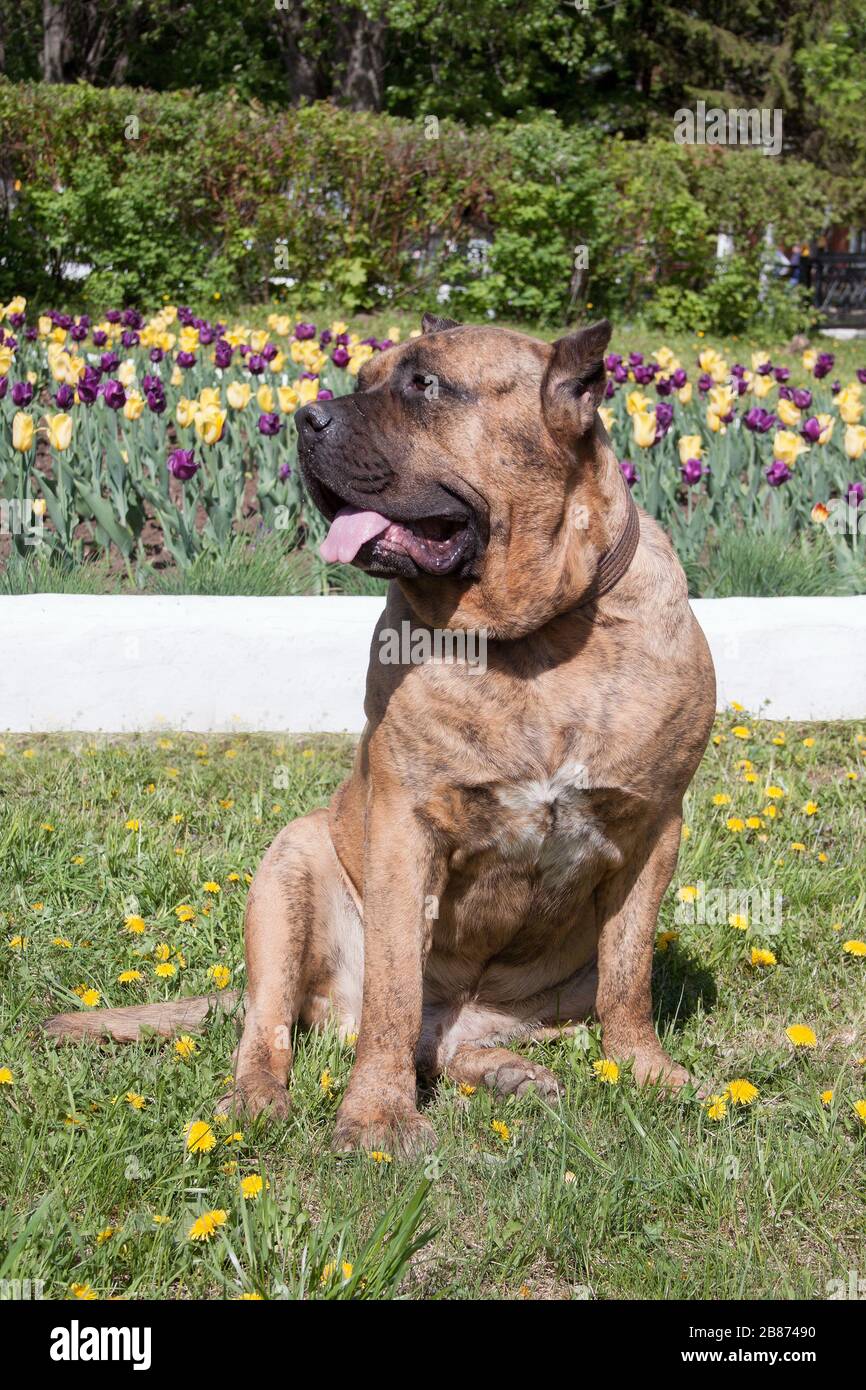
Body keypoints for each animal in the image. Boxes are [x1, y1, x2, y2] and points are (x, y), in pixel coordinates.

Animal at [44, 319, 717, 1156]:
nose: (305, 417)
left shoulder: (654, 828)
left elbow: (630, 974)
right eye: (363, 378)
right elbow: (394, 987)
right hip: (287, 876)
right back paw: (257, 1099)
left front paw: (649, 1072)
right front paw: (377, 1116)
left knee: (457, 1038)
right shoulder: (405, 827)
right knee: (274, 1024)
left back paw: (509, 1071)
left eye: (425, 386)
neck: (531, 638)